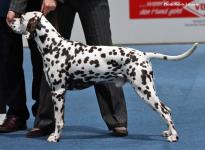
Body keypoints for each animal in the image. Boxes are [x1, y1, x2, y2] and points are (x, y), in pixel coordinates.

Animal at [9, 11, 197, 142]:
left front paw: (55, 137)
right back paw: (168, 132)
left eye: (22, 17)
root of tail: (143, 54)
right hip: (148, 90)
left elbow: (59, 121)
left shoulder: (58, 92)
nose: (10, 20)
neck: (54, 46)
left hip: (145, 90)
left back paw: (174, 136)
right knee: (167, 109)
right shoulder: (57, 92)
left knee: (165, 111)